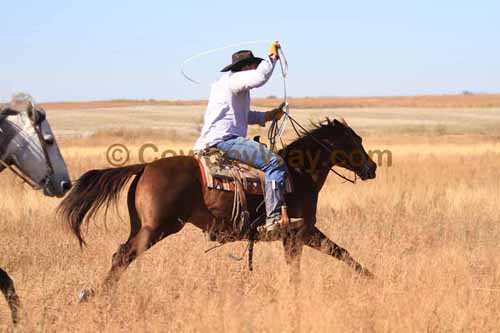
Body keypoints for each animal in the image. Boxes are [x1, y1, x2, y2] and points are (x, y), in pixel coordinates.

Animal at [59, 118, 376, 296]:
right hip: (156, 228)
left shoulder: (295, 236)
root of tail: (145, 166)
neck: (298, 175)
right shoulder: (301, 232)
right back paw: (99, 296)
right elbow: (339, 253)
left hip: (141, 226)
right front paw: (373, 278)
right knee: (124, 256)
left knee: (119, 254)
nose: (372, 167)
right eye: (355, 140)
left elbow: (318, 260)